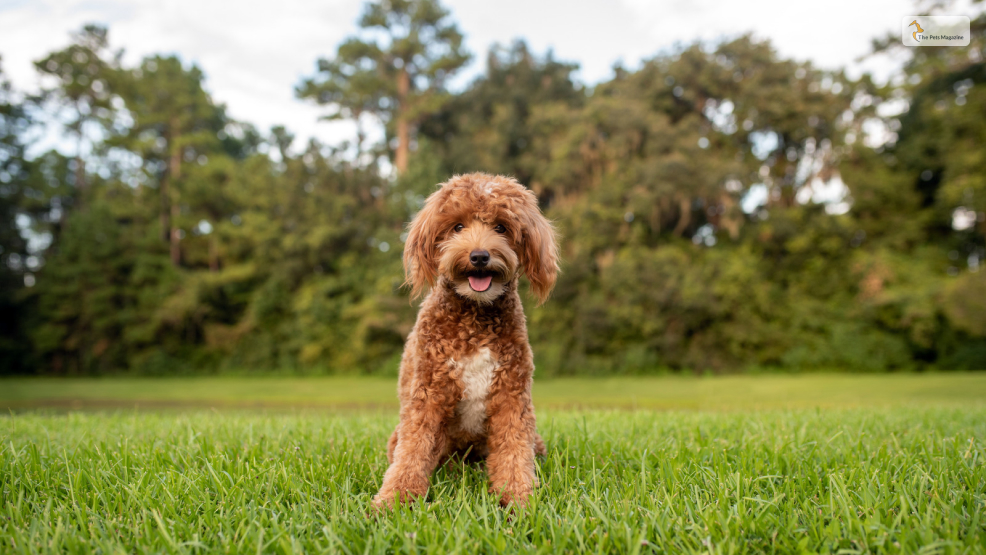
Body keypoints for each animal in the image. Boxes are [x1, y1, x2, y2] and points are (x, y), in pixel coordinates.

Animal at [370, 172, 556, 510]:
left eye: (501, 227)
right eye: (457, 226)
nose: (479, 256)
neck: (475, 318)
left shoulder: (511, 395)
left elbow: (513, 450)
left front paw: (518, 497)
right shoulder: (428, 394)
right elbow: (413, 451)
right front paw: (395, 499)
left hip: (535, 439)